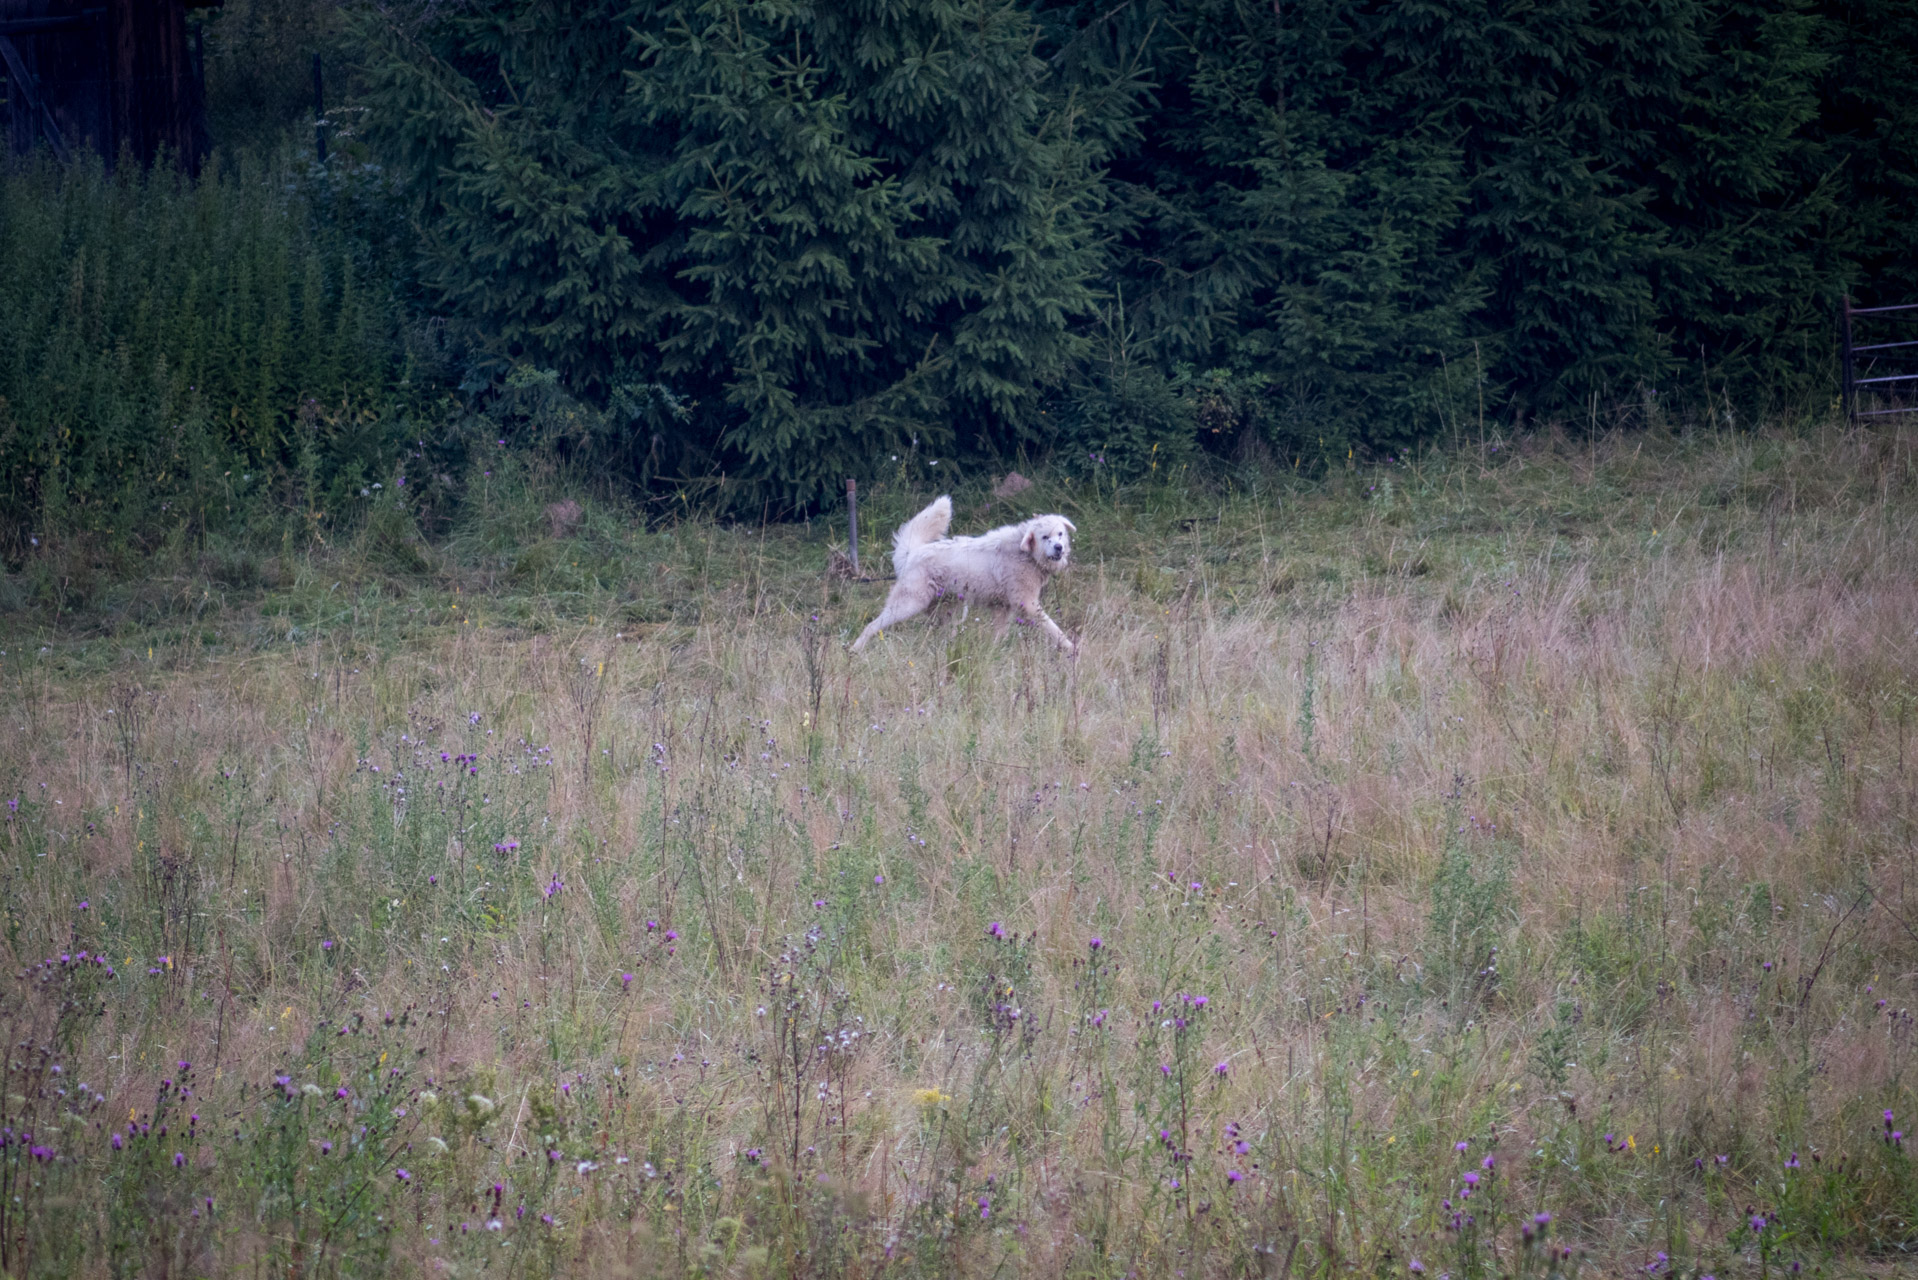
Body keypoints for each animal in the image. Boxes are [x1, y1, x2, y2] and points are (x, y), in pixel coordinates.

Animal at [855, 495, 1081, 656]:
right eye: (1045, 537)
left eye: (1060, 534)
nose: (1059, 548)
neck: (1025, 554)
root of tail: (913, 552)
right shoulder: (1028, 605)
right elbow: (1054, 629)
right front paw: (1072, 649)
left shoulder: (1002, 609)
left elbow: (998, 636)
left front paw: (994, 654)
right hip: (908, 605)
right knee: (872, 626)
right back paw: (855, 649)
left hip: (950, 613)